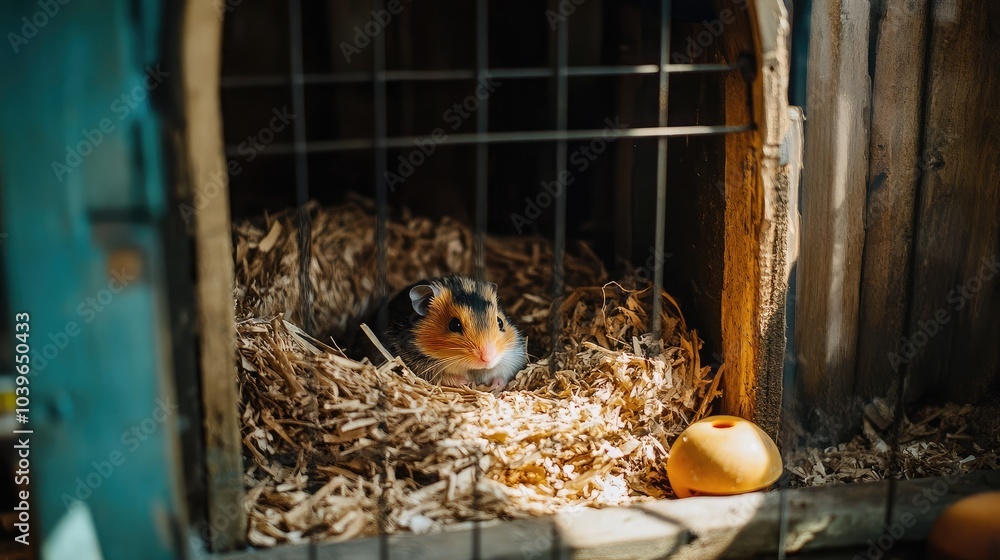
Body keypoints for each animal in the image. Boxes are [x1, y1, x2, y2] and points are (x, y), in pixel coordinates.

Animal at [368, 275, 528, 390]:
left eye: (500, 322)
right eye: (454, 325)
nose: (488, 358)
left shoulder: (513, 355)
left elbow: (503, 371)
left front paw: (496, 384)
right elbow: (444, 377)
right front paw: (466, 381)